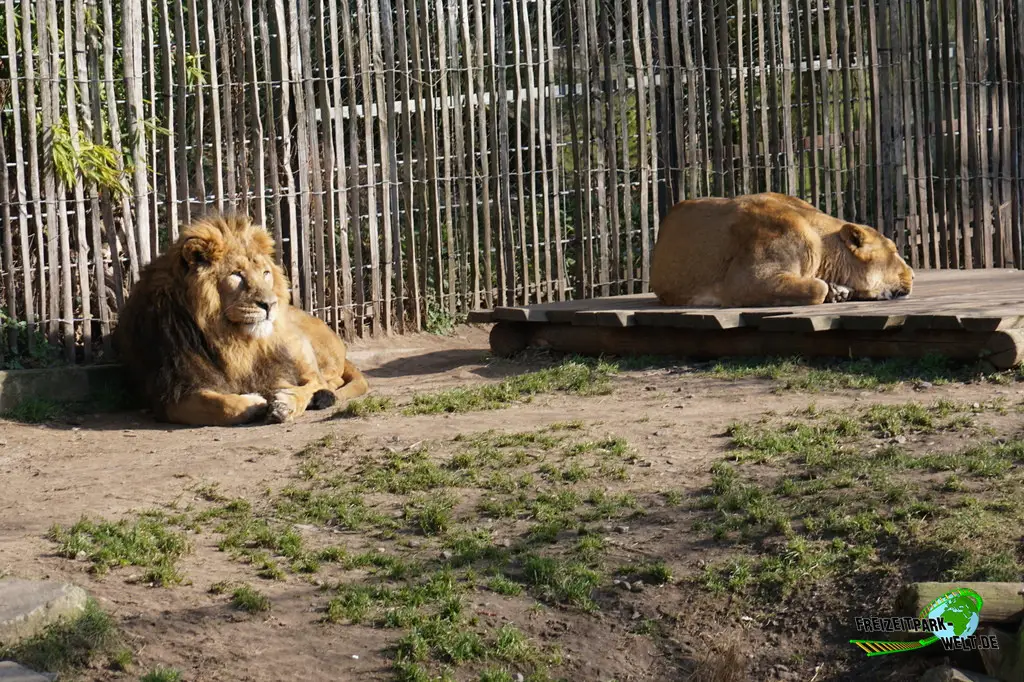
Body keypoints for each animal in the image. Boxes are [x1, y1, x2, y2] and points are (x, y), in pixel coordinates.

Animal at [113, 215, 369, 426]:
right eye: (236, 275)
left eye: (265, 273)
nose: (270, 304)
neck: (228, 338)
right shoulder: (170, 389)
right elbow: (218, 404)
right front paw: (253, 403)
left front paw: (279, 401)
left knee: (324, 382)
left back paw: (292, 401)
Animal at [650, 192, 914, 307]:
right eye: (894, 252)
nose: (913, 274)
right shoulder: (745, 281)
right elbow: (816, 288)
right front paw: (832, 290)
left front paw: (839, 291)